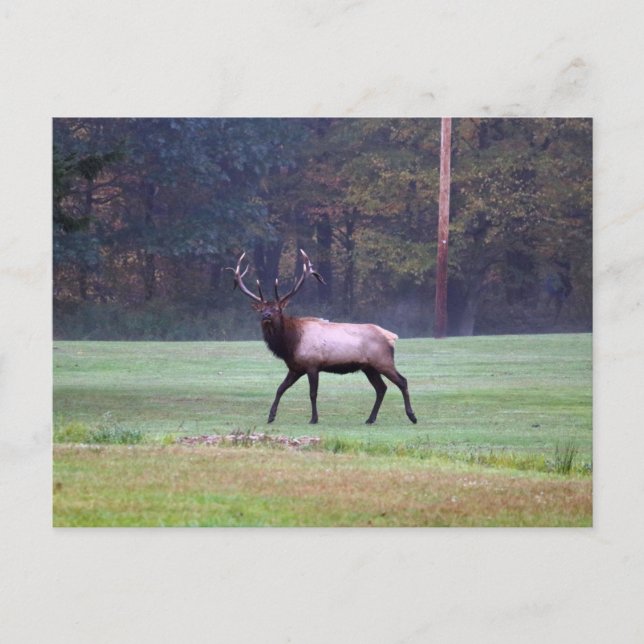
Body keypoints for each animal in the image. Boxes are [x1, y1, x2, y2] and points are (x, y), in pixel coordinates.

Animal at [227, 249, 417, 425]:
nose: (266, 315)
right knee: (381, 388)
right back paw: (370, 419)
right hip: (368, 367)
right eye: (262, 309)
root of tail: (391, 336)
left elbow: (312, 393)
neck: (291, 344)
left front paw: (314, 418)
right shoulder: (295, 368)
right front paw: (271, 416)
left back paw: (412, 416)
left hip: (383, 361)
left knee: (402, 381)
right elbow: (280, 388)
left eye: (277, 309)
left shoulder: (313, 364)